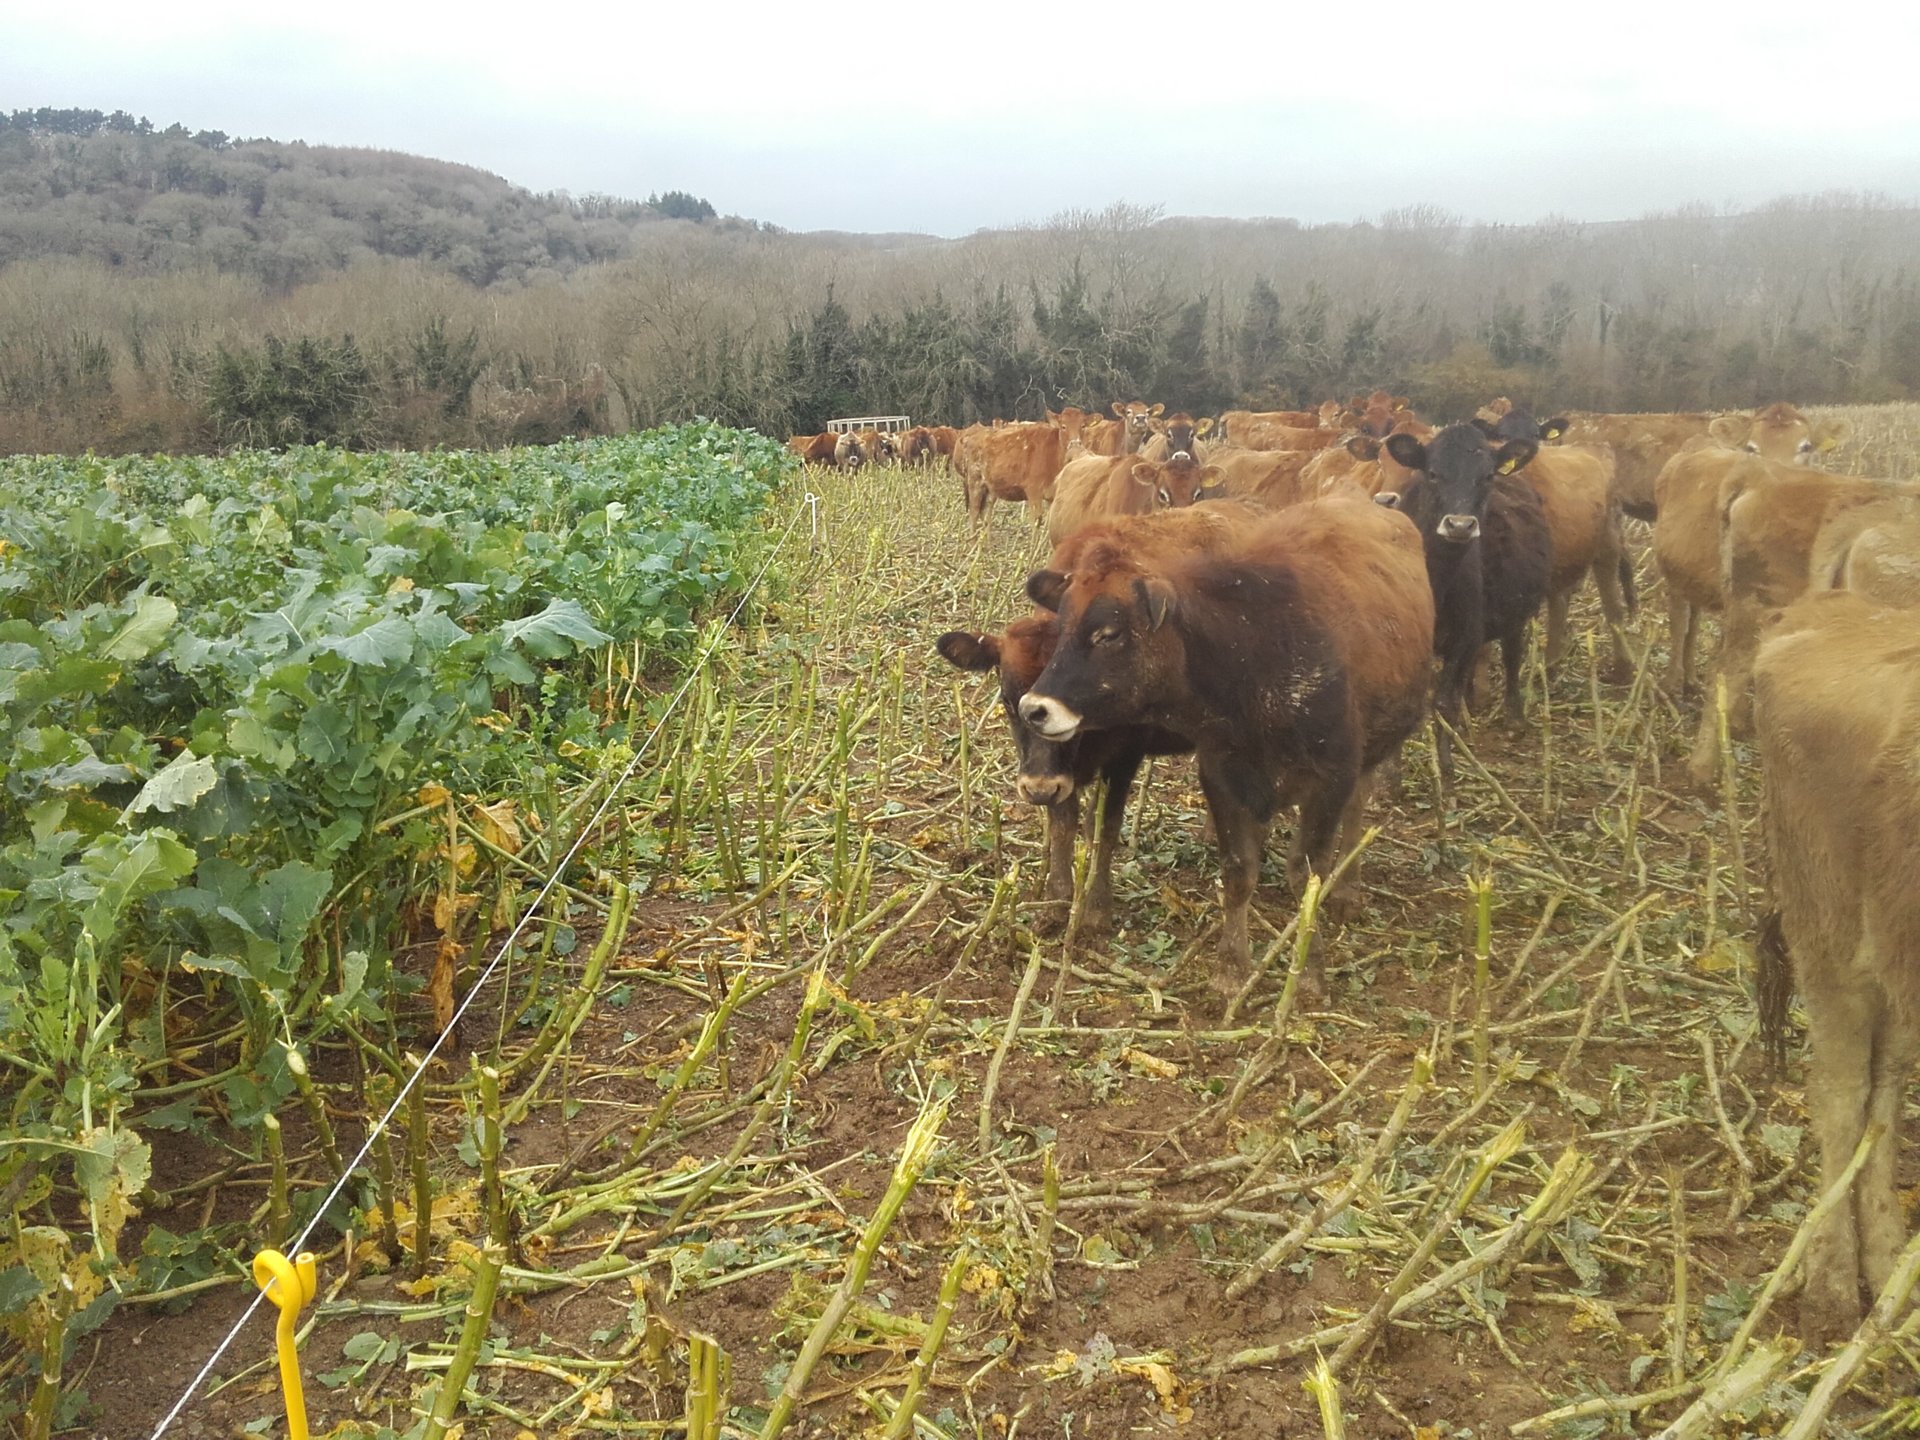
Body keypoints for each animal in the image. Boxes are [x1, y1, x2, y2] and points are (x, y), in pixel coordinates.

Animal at [1015, 494, 1435, 1000]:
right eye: (1063, 626)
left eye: (1109, 633)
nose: (1034, 708)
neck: (1252, 660)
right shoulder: (1221, 774)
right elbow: (1237, 870)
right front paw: (1232, 967)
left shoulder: (1331, 777)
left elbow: (1307, 875)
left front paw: (1310, 973)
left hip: (1372, 752)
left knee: (1356, 813)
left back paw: (1348, 889)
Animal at [1375, 425, 1554, 781]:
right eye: (1432, 473)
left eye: (1486, 476)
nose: (1459, 524)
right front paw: (1391, 774)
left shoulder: (1465, 639)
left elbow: (1445, 703)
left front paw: (1445, 768)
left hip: (1515, 616)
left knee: (1512, 657)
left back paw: (1513, 716)